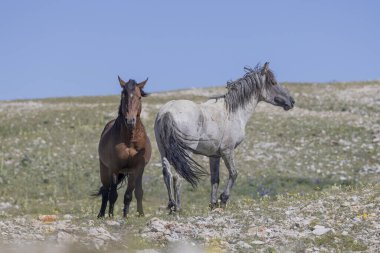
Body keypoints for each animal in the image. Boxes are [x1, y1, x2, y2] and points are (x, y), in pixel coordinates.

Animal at [93, 76, 151, 218]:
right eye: (123, 95)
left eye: (139, 97)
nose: (130, 121)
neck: (129, 140)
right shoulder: (114, 168)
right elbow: (113, 195)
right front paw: (111, 216)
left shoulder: (137, 169)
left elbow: (134, 193)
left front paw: (138, 214)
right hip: (104, 169)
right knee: (106, 191)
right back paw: (102, 214)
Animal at [154, 62, 294, 211]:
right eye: (273, 82)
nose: (291, 101)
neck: (233, 111)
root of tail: (168, 111)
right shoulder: (227, 151)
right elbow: (233, 173)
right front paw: (223, 199)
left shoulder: (214, 156)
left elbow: (215, 179)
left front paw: (213, 204)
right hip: (185, 152)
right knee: (177, 176)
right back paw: (178, 208)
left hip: (164, 152)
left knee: (167, 174)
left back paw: (171, 205)